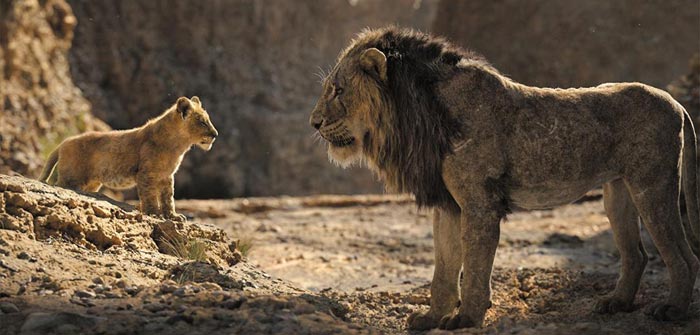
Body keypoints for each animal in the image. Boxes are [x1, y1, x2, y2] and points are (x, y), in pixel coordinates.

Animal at [310, 27, 700, 332]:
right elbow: (443, 268)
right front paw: (431, 317)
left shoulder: (479, 203)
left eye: (338, 90)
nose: (313, 123)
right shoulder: (449, 205)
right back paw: (615, 303)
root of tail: (676, 102)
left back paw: (672, 310)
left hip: (652, 185)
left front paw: (466, 318)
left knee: (684, 256)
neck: (419, 113)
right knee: (637, 254)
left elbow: (475, 265)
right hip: (617, 193)